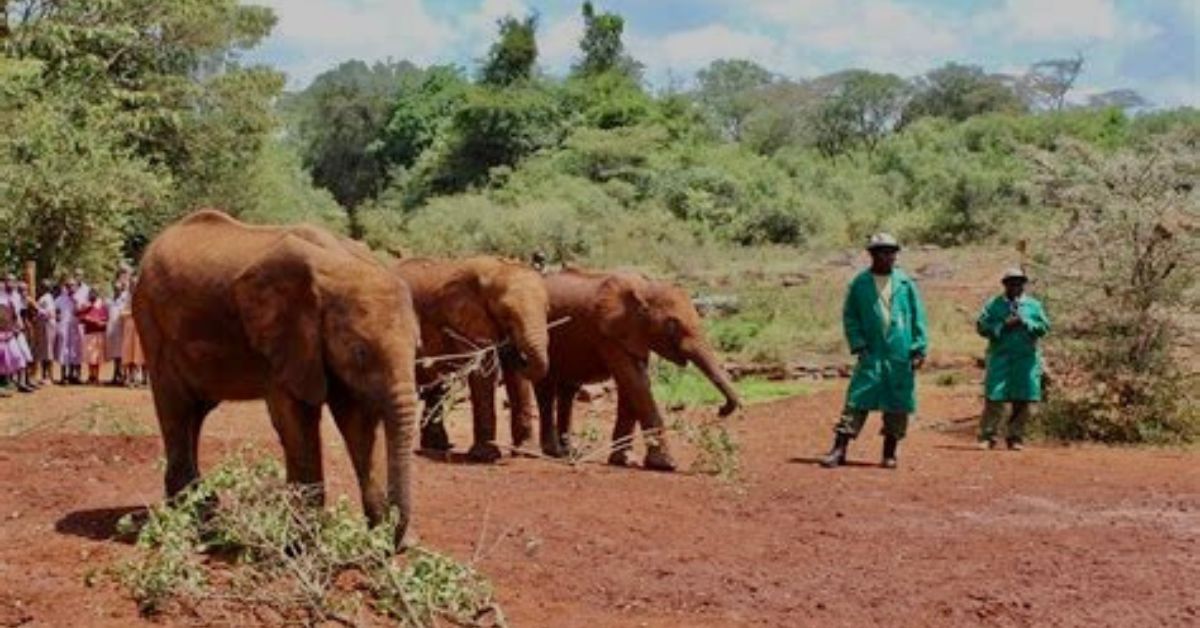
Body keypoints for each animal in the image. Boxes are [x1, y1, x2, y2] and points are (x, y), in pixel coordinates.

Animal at [134, 209, 421, 546]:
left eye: (418, 348)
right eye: (360, 352)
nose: (396, 539)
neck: (340, 266)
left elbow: (358, 424)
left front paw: (376, 541)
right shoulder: (287, 341)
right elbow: (296, 420)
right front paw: (303, 544)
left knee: (196, 411)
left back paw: (200, 511)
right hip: (152, 324)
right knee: (176, 407)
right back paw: (198, 523)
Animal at [392, 257, 550, 462]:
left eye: (547, 309)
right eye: (506, 313)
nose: (520, 357)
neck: (496, 269)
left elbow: (517, 378)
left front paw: (528, 453)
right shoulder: (467, 322)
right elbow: (483, 373)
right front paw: (485, 456)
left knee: (438, 383)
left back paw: (439, 446)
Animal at [532, 269, 741, 471]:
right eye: (672, 324)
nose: (721, 410)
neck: (645, 288)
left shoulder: (635, 336)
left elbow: (632, 386)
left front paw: (623, 460)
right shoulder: (608, 335)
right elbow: (635, 382)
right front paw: (665, 465)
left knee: (568, 390)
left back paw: (568, 451)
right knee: (546, 389)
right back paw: (554, 452)